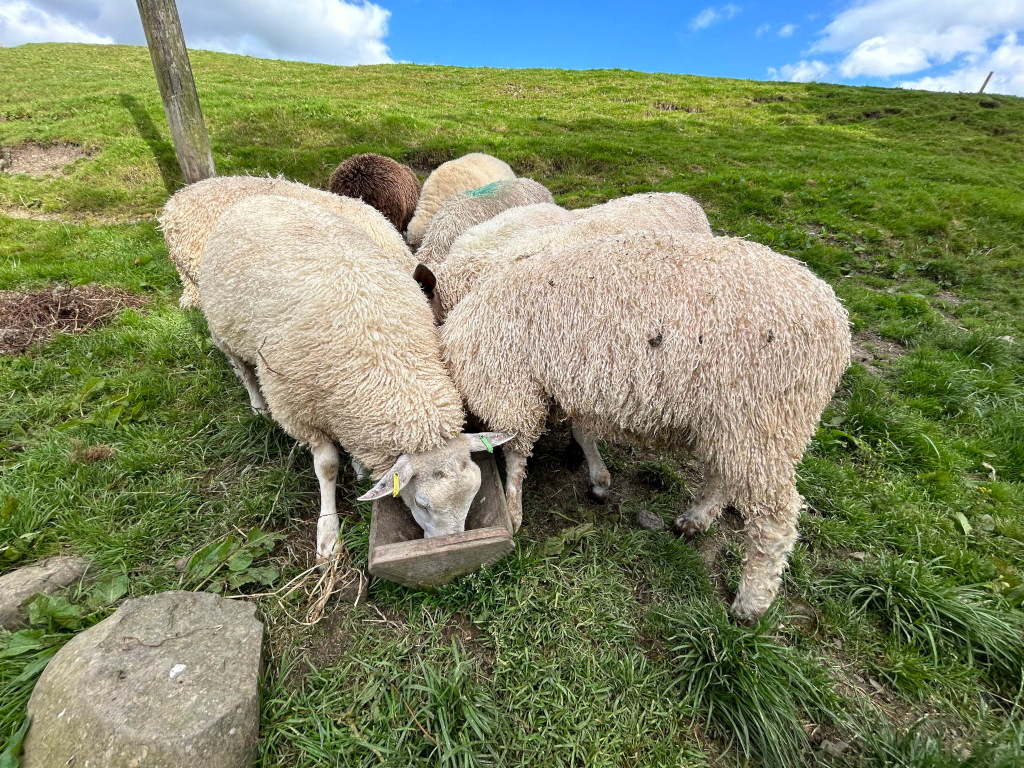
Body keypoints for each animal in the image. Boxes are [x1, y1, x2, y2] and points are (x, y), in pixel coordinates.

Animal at [198, 194, 511, 561]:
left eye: (472, 496)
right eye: (421, 504)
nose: (451, 546)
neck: (385, 360)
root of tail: (258, 197)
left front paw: (360, 468)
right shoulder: (299, 409)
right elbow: (327, 466)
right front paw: (328, 536)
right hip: (224, 328)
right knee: (244, 370)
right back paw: (258, 406)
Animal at [439, 231, 850, 621]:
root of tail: (837, 321)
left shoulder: (513, 389)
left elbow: (515, 456)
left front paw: (514, 513)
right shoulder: (571, 386)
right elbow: (582, 432)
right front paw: (599, 479)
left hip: (762, 419)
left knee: (775, 518)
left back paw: (751, 603)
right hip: (731, 423)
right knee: (723, 476)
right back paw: (694, 521)